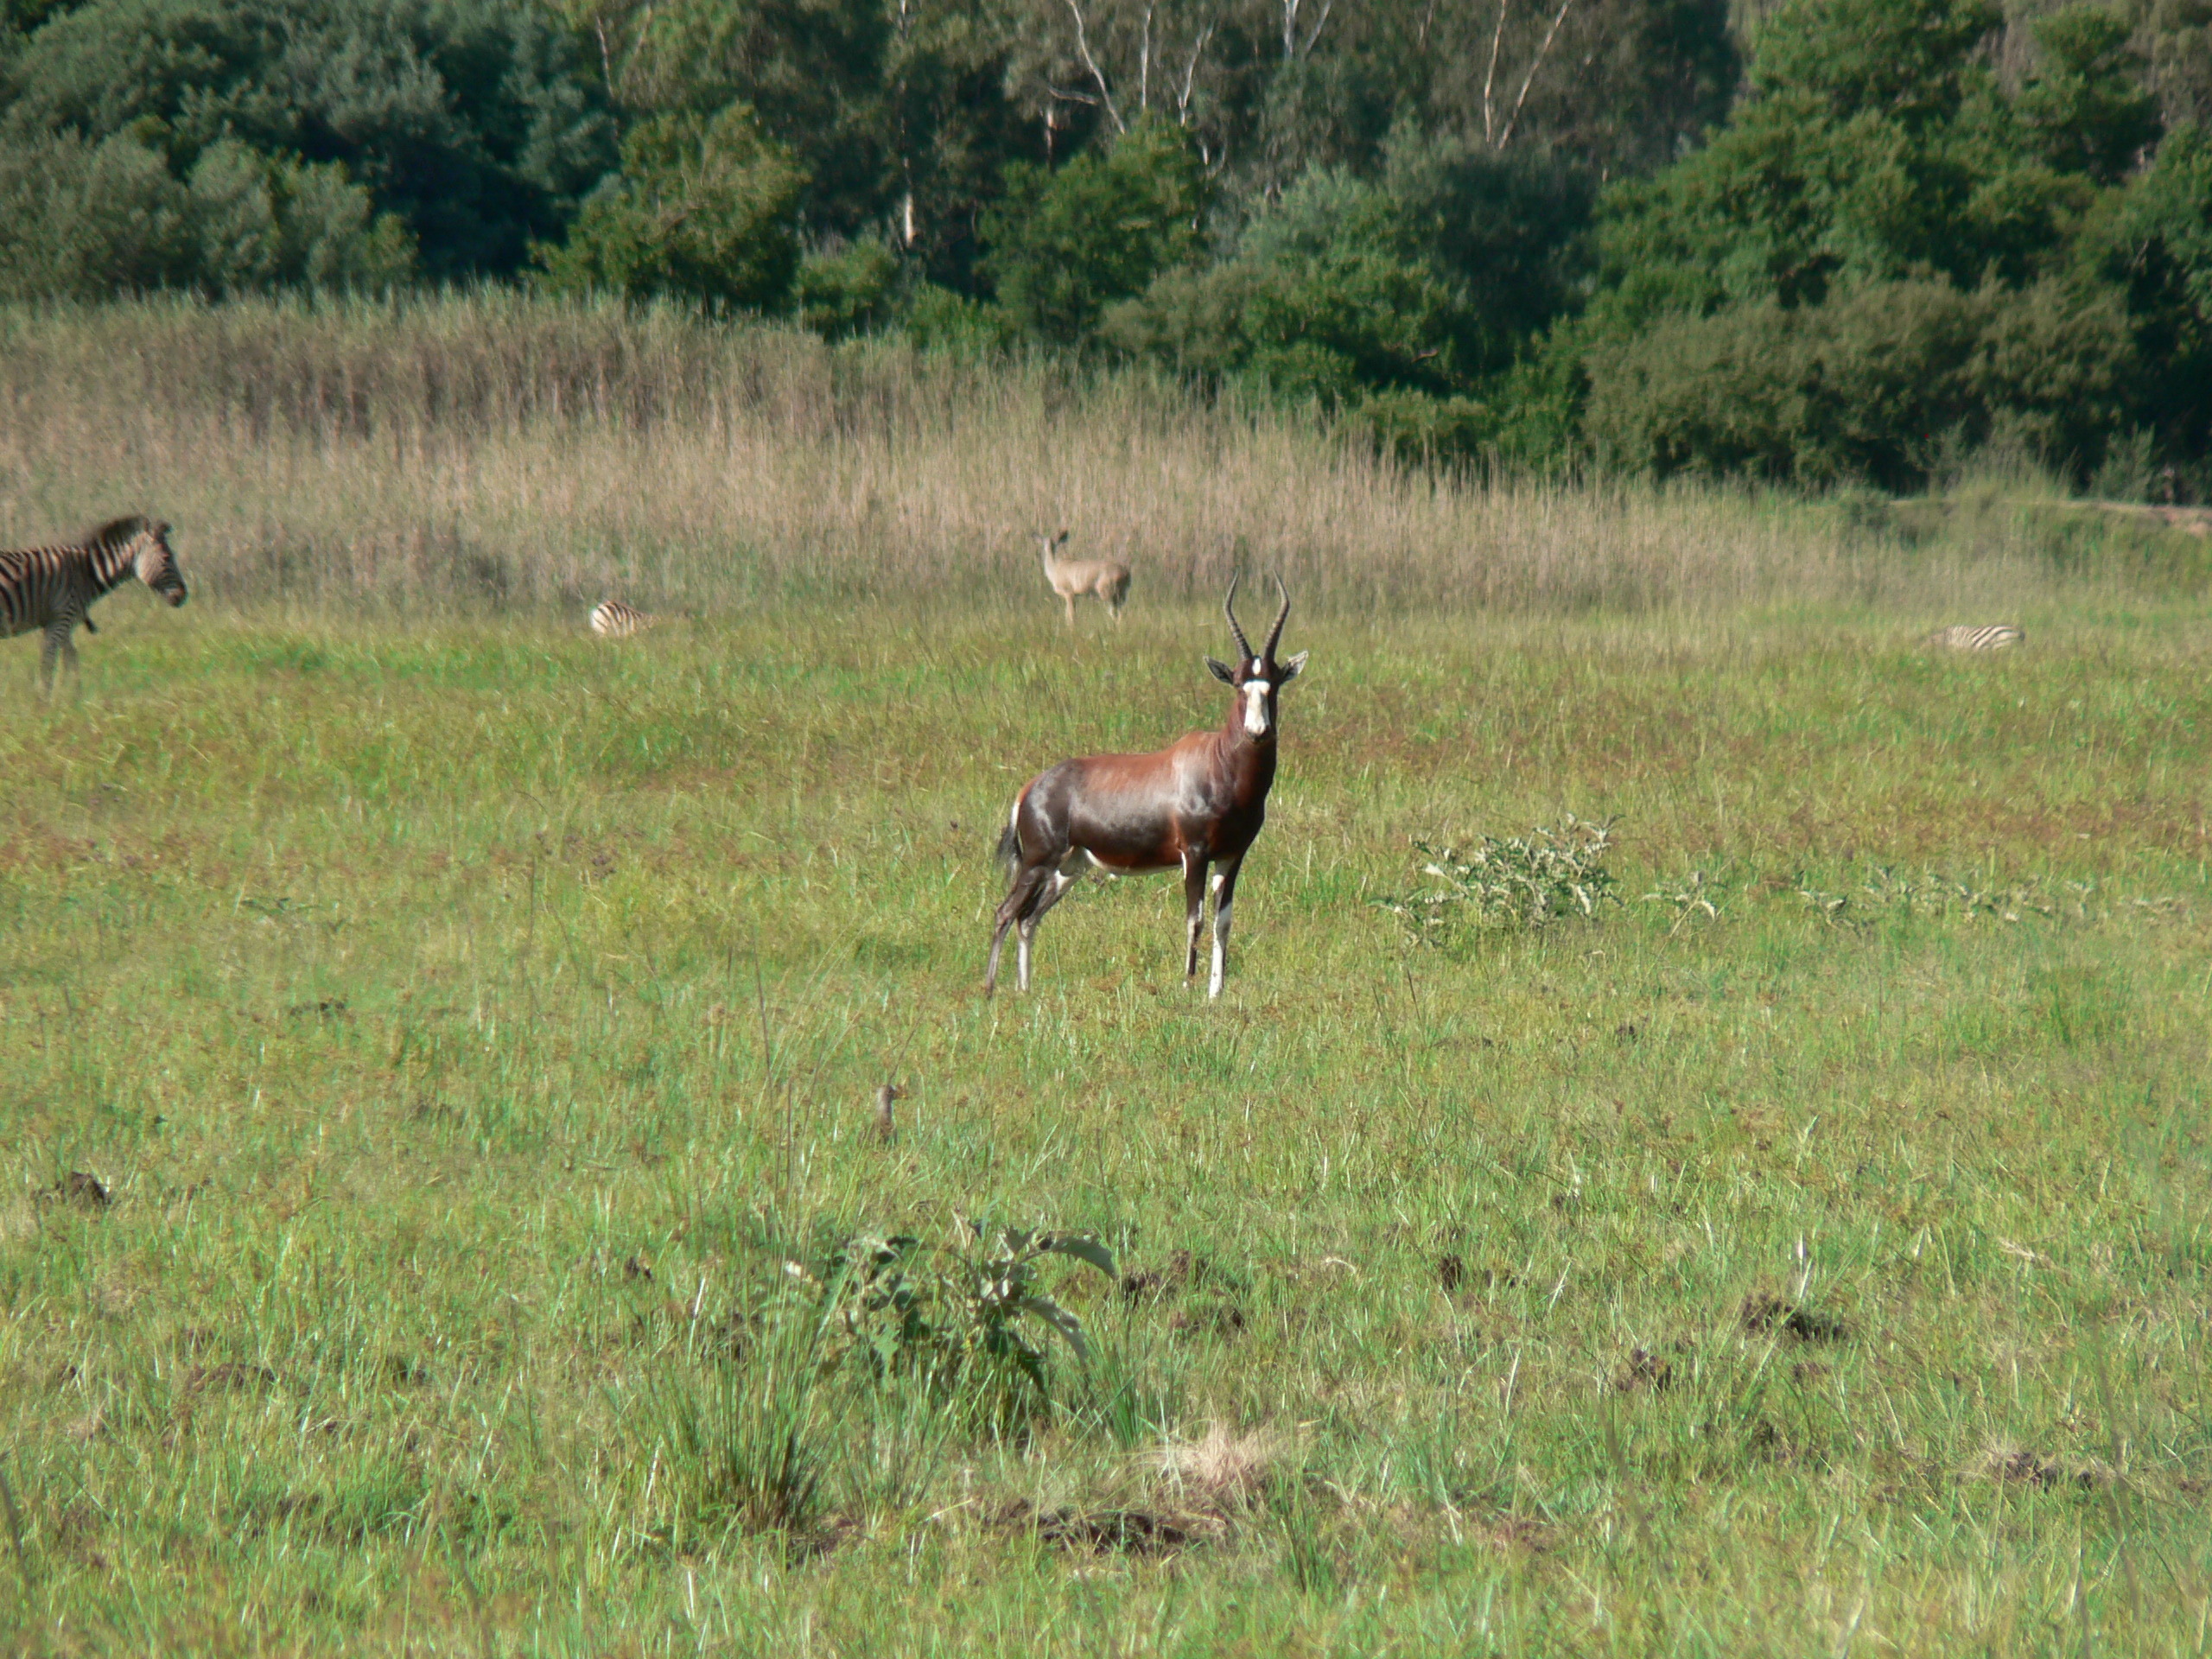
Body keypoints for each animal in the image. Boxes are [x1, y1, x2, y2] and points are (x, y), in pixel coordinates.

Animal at [1, 522, 188, 698]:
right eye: (167, 557)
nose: (184, 595)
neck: (87, 572)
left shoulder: (63, 623)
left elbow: (71, 660)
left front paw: (75, 699)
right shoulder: (61, 618)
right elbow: (49, 664)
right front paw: (44, 704)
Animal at [990, 579, 1309, 1000]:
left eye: (1272, 685)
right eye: (1240, 685)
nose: (1258, 732)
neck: (1217, 761)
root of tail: (1030, 789)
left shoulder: (1232, 856)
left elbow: (1223, 922)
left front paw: (1216, 993)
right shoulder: (1194, 854)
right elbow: (1195, 919)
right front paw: (1188, 986)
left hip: (1069, 868)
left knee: (1029, 918)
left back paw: (1025, 991)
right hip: (1037, 863)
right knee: (1005, 912)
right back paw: (989, 990)